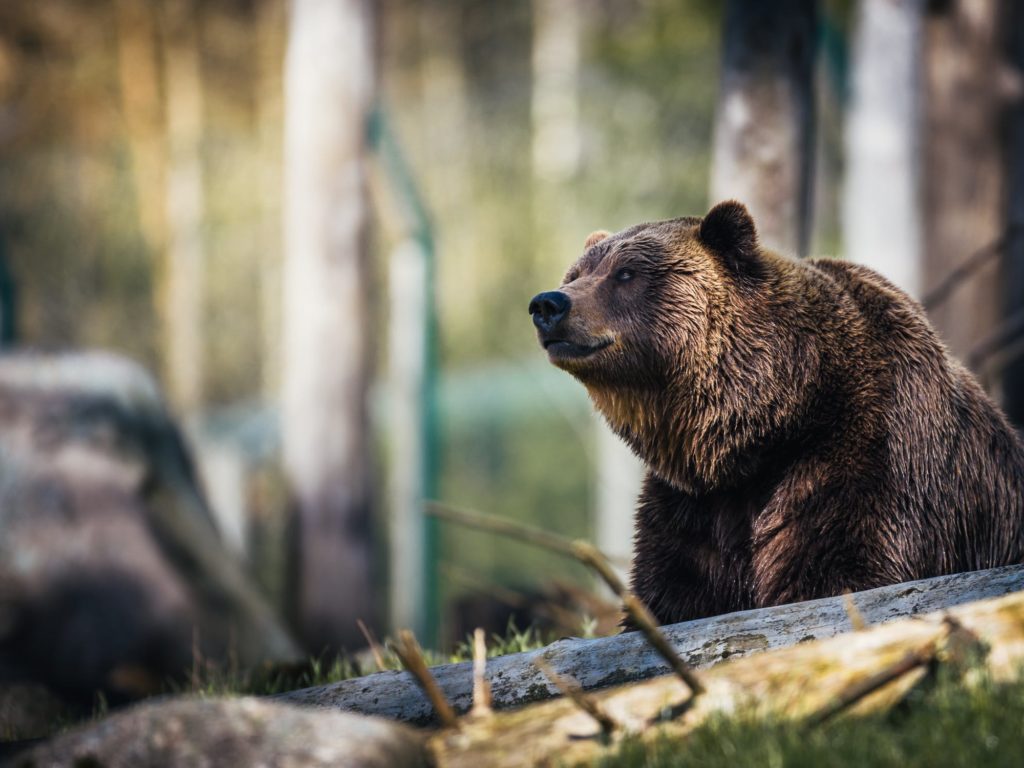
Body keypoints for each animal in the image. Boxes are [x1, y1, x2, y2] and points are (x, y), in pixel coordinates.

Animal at [532, 202, 1024, 626]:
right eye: (577, 273)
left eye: (626, 273)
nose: (548, 304)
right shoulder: (695, 506)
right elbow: (673, 591)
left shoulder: (867, 456)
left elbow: (838, 570)